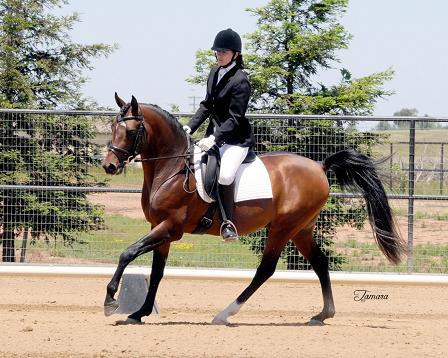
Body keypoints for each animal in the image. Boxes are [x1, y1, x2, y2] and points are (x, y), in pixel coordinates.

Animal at [101, 93, 406, 326]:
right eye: (112, 128)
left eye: (130, 131)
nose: (109, 166)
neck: (172, 168)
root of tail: (320, 166)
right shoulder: (159, 228)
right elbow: (156, 273)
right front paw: (139, 313)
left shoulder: (171, 228)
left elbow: (127, 252)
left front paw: (111, 300)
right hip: (302, 230)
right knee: (320, 262)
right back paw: (322, 315)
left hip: (283, 228)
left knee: (266, 270)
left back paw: (225, 314)